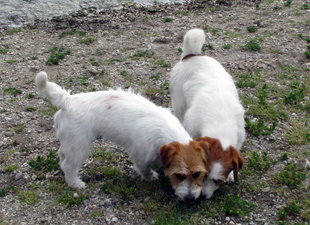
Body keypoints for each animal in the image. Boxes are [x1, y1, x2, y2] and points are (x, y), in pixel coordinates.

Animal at [35, 71, 212, 203]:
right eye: (179, 175)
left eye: (198, 174)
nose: (190, 199)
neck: (167, 133)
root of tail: (68, 100)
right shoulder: (141, 156)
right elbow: (144, 168)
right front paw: (150, 176)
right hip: (79, 147)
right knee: (69, 166)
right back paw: (75, 183)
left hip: (70, 143)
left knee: (62, 156)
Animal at [168, 28, 246, 199]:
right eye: (200, 175)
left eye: (217, 181)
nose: (202, 196)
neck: (221, 122)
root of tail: (192, 56)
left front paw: (232, 175)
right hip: (179, 104)